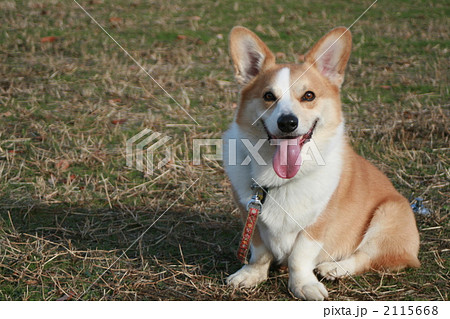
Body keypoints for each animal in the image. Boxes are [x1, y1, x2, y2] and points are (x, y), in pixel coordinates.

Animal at [223, 26, 420, 302]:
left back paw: (334, 268)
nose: (288, 122)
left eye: (309, 96)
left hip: (390, 212)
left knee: (370, 256)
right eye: (268, 96)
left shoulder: (317, 224)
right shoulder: (249, 212)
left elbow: (299, 256)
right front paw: (251, 275)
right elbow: (259, 251)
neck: (280, 177)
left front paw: (304, 285)